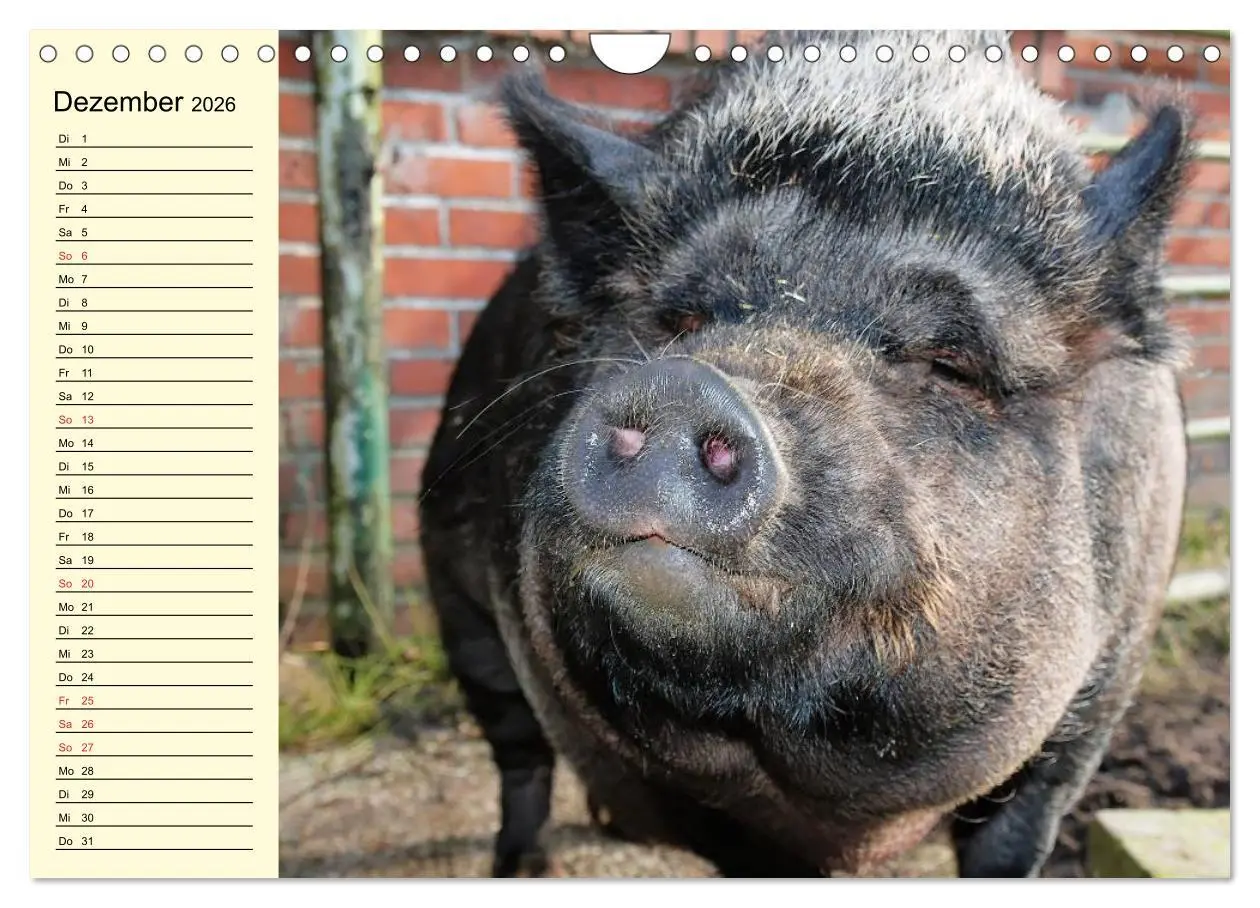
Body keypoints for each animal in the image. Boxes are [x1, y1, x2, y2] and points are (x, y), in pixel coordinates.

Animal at [418, 29, 1192, 877]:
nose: (685, 386)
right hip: (457, 601)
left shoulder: (1092, 709)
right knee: (517, 750)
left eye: (951, 362)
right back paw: (523, 866)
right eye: (681, 321)